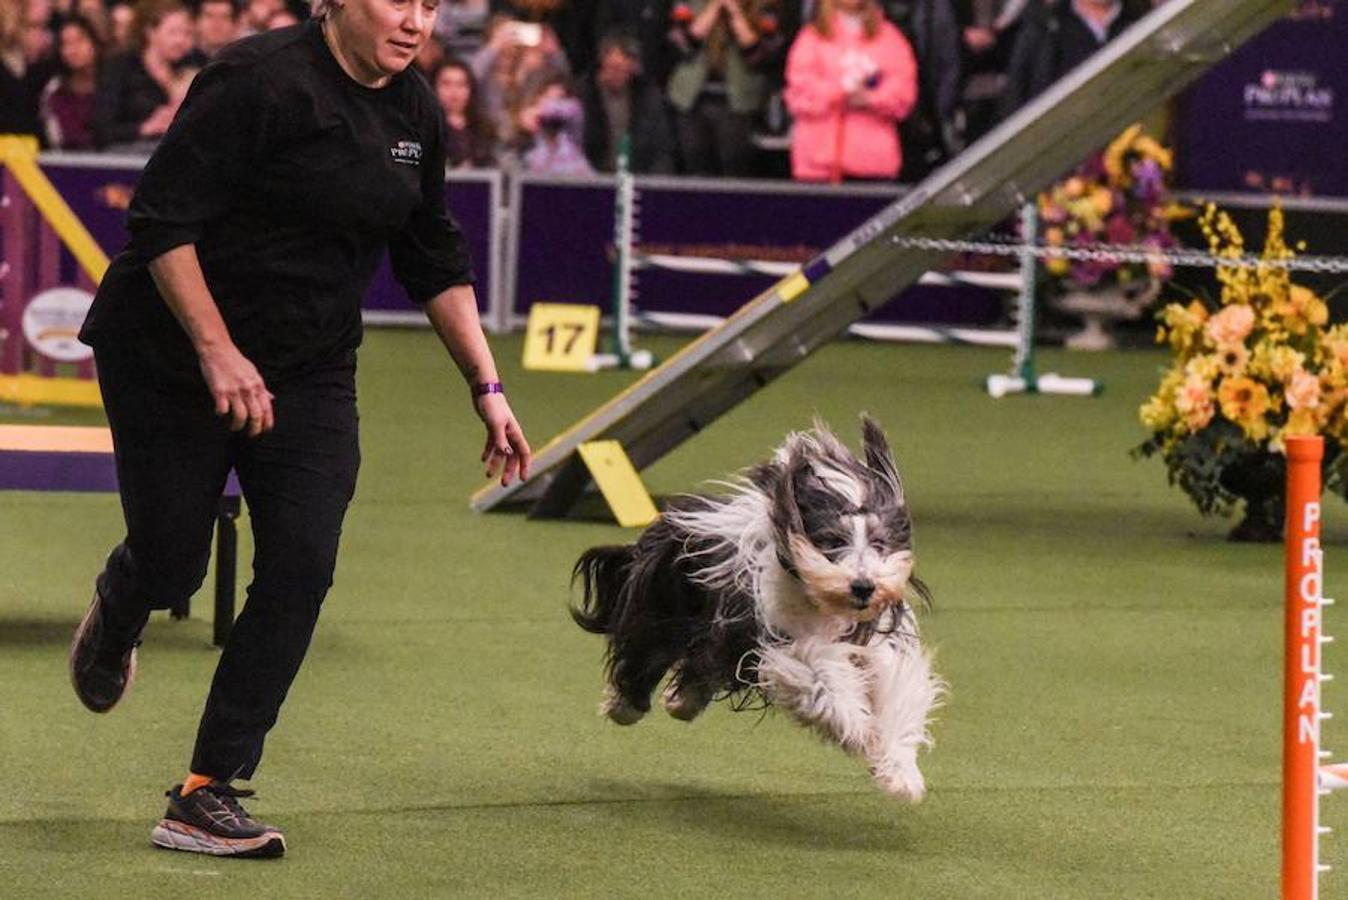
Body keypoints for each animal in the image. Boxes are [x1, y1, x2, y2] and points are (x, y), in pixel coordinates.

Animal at [574, 414, 943, 802]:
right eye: (831, 541)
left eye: (879, 542)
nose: (863, 585)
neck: (828, 606)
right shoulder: (790, 645)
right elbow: (823, 681)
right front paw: (859, 729)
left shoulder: (878, 646)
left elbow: (896, 692)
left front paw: (900, 773)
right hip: (665, 602)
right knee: (648, 651)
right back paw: (627, 706)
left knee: (702, 664)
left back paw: (682, 701)